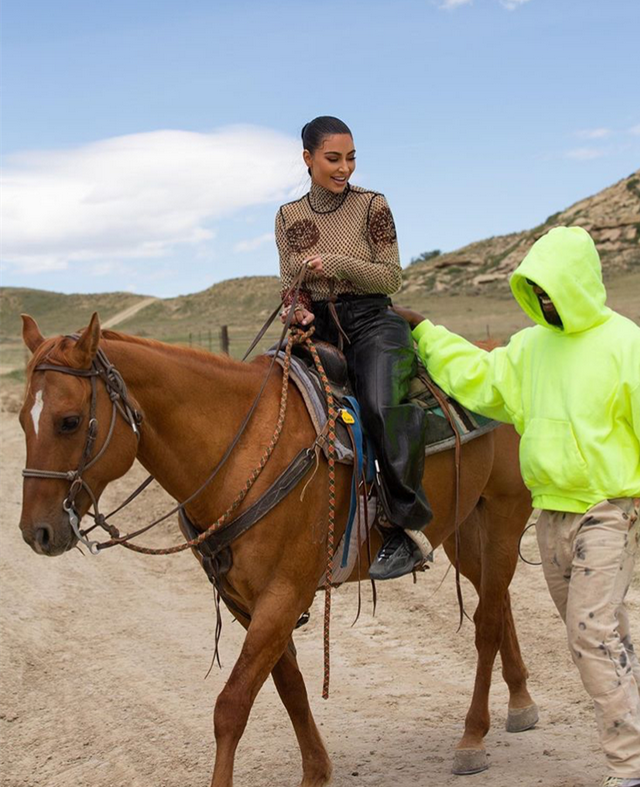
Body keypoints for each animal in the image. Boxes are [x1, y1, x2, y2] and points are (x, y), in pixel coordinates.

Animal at [18, 314, 536, 787]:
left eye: (68, 422)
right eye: (23, 420)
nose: (35, 532)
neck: (239, 448)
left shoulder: (284, 593)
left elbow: (231, 705)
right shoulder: (246, 601)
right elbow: (289, 686)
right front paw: (317, 772)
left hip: (504, 516)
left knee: (487, 622)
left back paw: (473, 737)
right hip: (461, 527)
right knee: (499, 601)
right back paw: (521, 701)